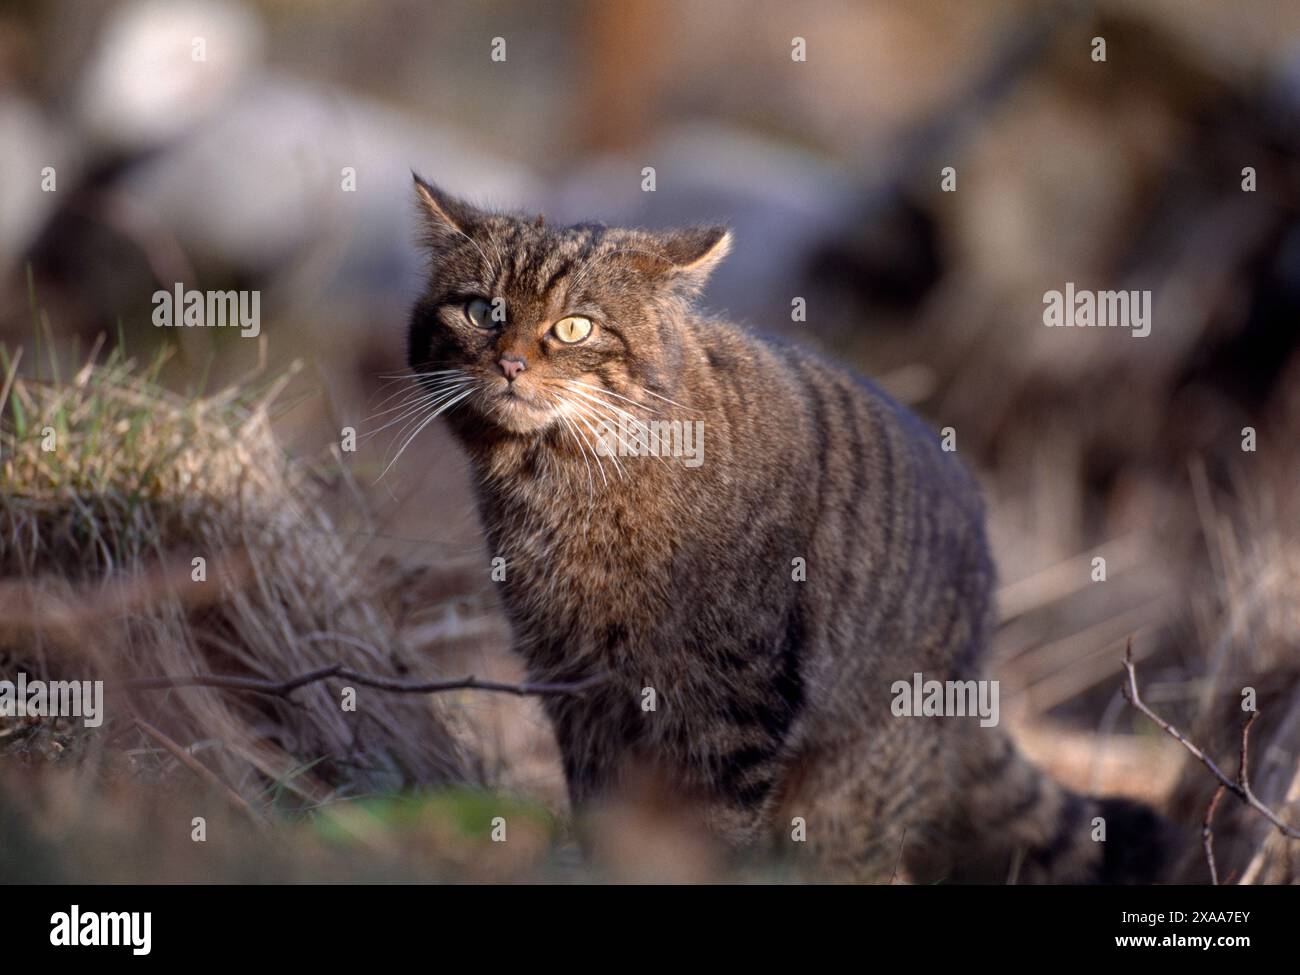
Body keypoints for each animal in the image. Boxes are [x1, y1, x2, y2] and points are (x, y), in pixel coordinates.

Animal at [400, 175, 1175, 883]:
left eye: (574, 327)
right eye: (482, 311)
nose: (510, 361)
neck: (560, 487)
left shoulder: (731, 700)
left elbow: (713, 834)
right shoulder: (576, 689)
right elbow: (603, 820)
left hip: (849, 797)